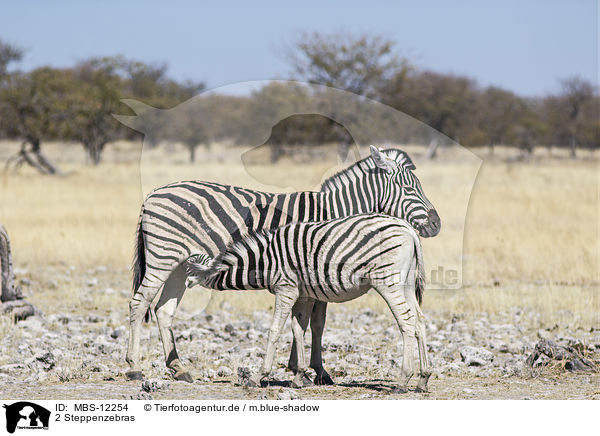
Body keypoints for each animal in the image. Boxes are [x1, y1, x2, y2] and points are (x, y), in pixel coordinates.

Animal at [186, 214, 432, 392]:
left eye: (187, 271)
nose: (184, 287)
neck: (265, 261)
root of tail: (409, 229)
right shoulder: (303, 295)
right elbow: (298, 329)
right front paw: (298, 376)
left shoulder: (286, 289)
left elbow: (275, 330)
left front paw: (257, 376)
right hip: (406, 283)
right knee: (419, 321)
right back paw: (423, 379)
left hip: (388, 281)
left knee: (406, 322)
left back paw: (402, 381)